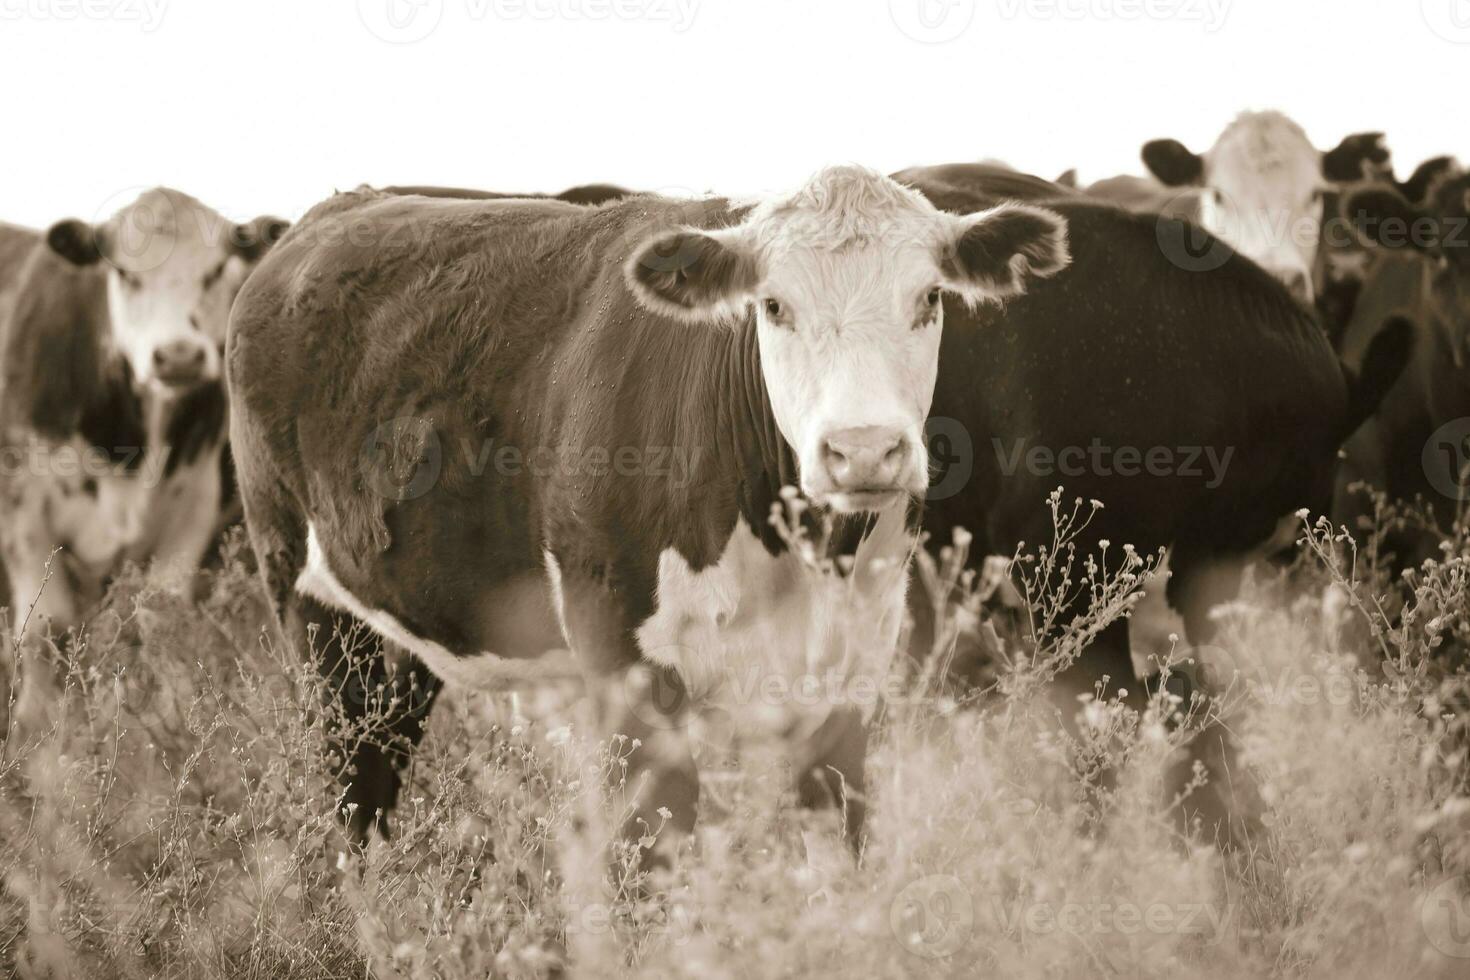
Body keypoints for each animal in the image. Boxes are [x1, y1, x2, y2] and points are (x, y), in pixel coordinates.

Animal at [0, 189, 286, 640]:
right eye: (124, 273)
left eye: (216, 270)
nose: (179, 355)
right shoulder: (22, 522)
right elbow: (44, 632)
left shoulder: (192, 512)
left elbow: (161, 616)